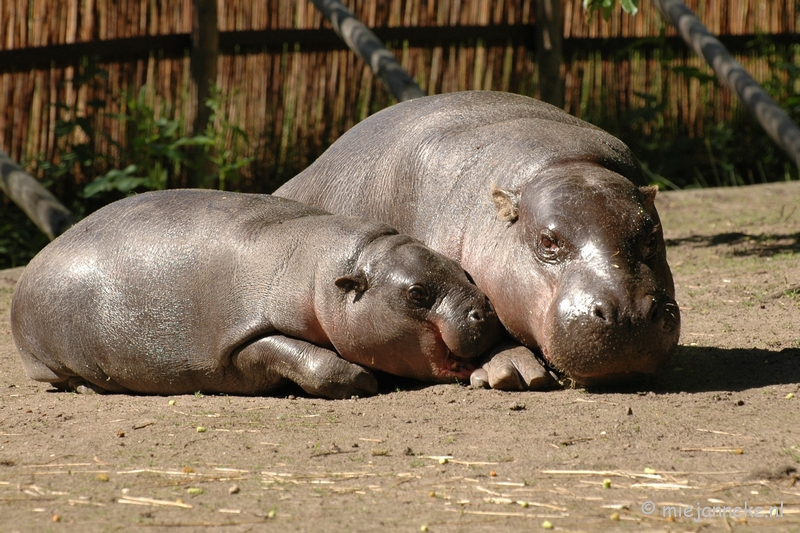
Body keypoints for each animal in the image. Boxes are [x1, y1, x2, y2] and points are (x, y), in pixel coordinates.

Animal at [10, 189, 500, 396]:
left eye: (462, 269)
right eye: (416, 294)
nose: (484, 310)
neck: (320, 270)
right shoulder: (243, 337)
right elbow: (306, 357)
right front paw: (362, 380)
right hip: (53, 359)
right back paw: (90, 390)